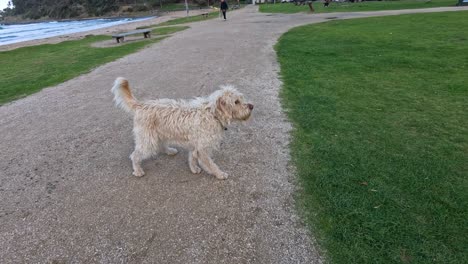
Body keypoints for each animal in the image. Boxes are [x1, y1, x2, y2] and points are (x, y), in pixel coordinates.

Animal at [111, 77, 254, 179]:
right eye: (236, 102)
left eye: (241, 98)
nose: (251, 106)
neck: (213, 115)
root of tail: (142, 105)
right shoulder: (203, 147)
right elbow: (210, 164)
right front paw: (220, 174)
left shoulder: (195, 145)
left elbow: (192, 158)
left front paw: (194, 169)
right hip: (148, 141)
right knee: (135, 155)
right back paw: (138, 170)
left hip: (158, 134)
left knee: (161, 145)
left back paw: (169, 151)